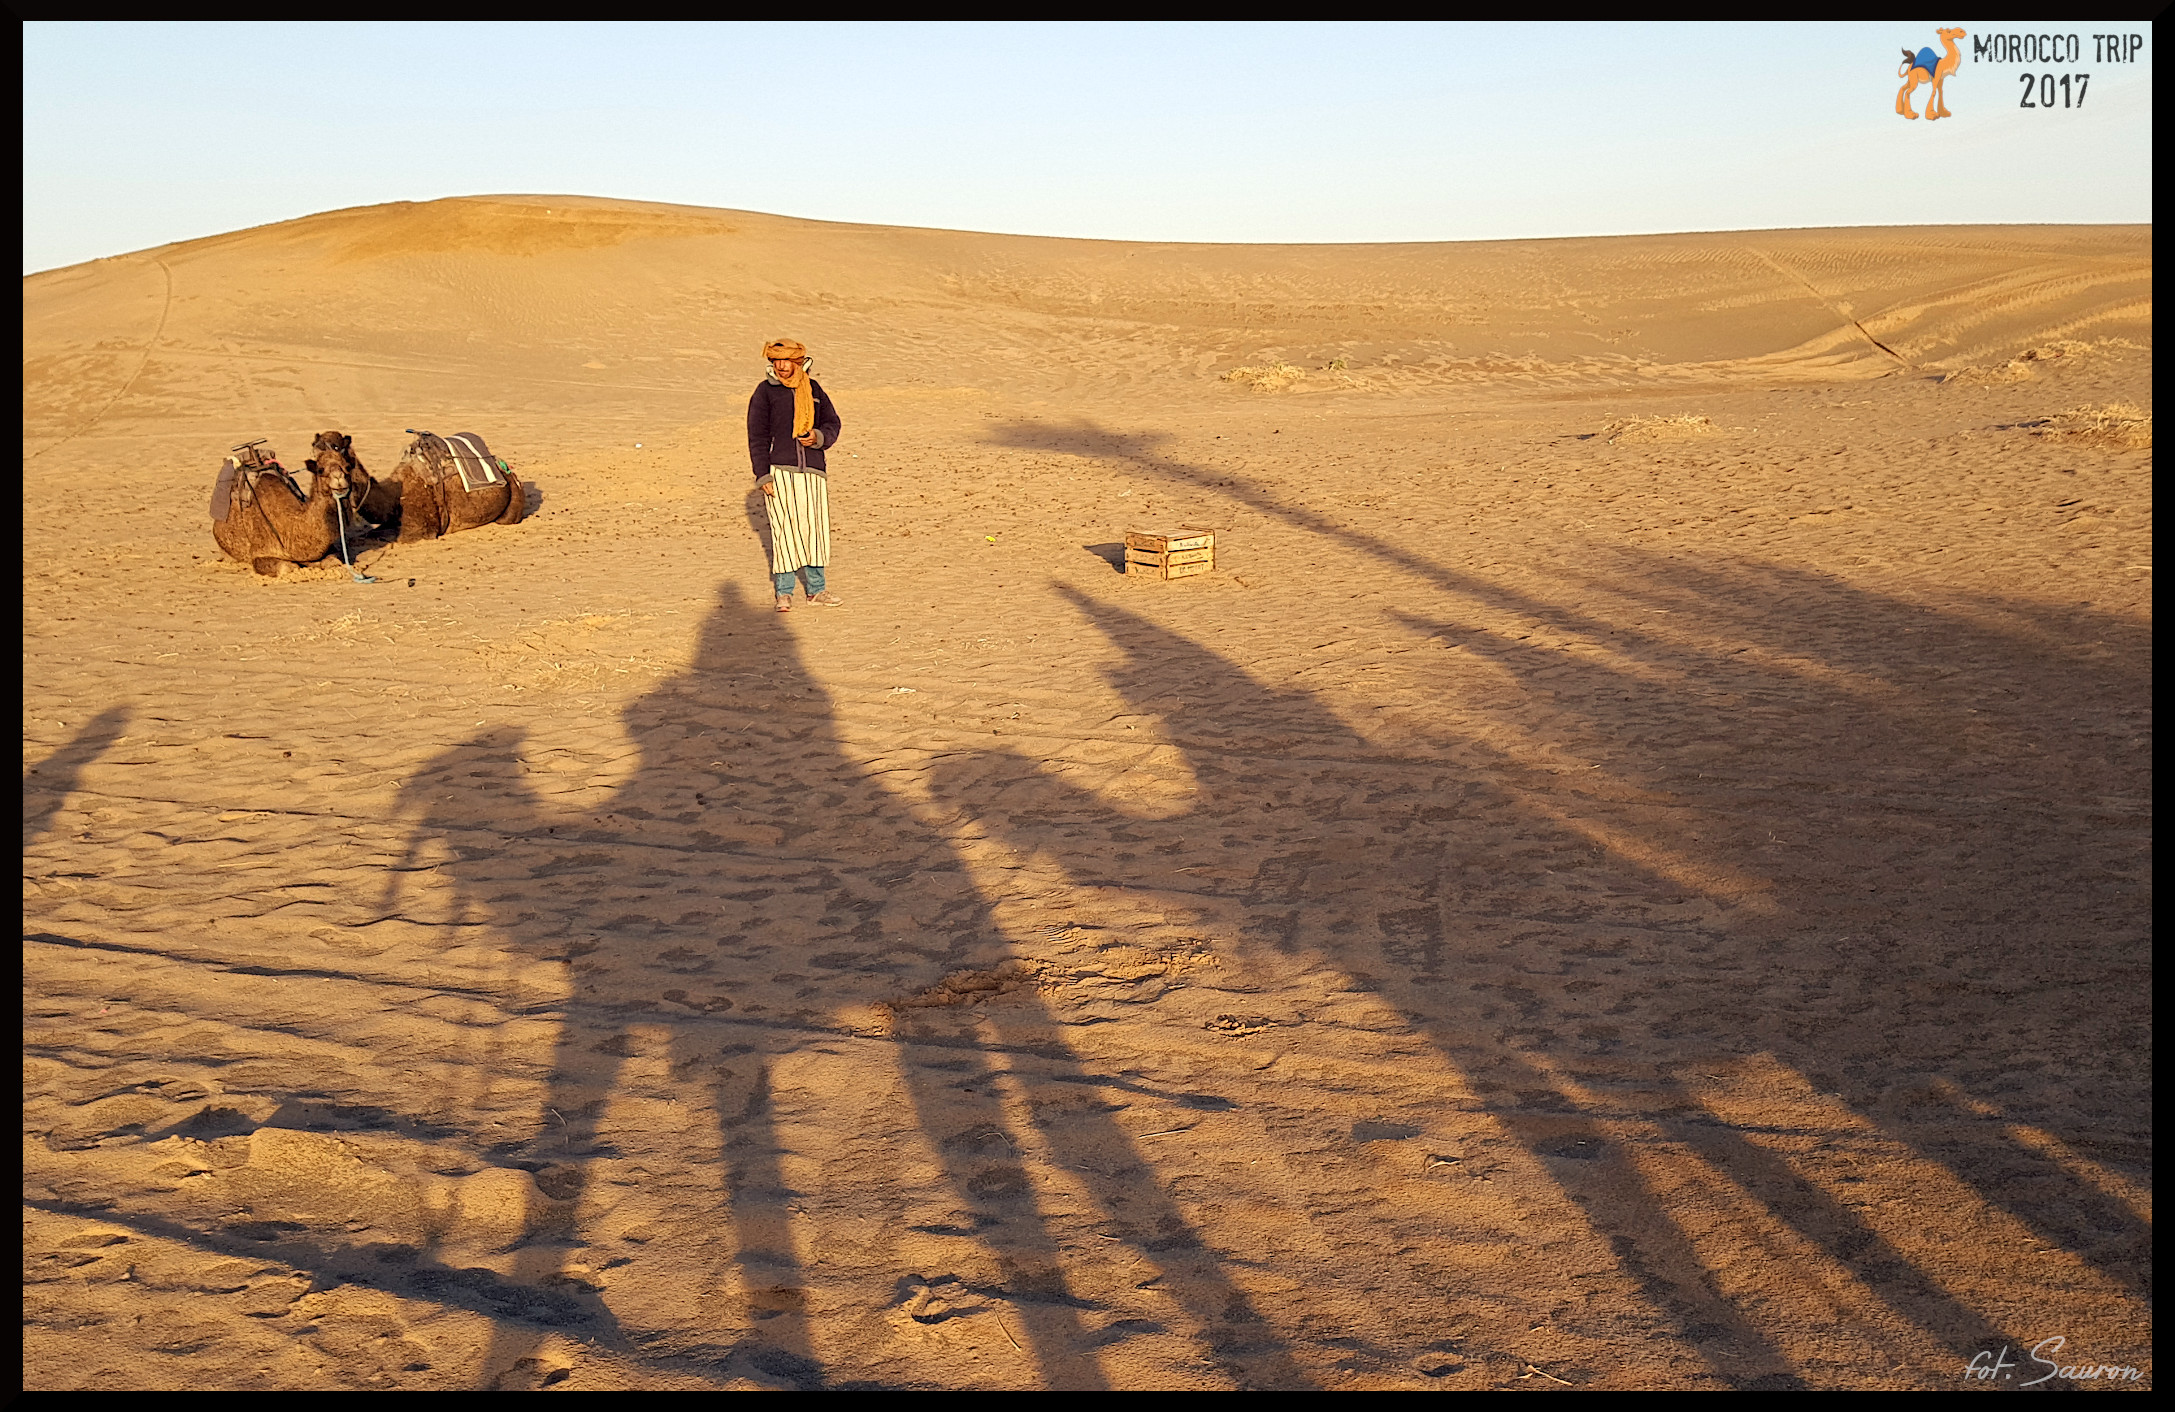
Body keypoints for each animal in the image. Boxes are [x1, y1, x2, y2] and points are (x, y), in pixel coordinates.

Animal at [209, 442, 354, 577]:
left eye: (347, 467)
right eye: (320, 469)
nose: (338, 478)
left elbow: (334, 561)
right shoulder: (259, 552)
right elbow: (288, 567)